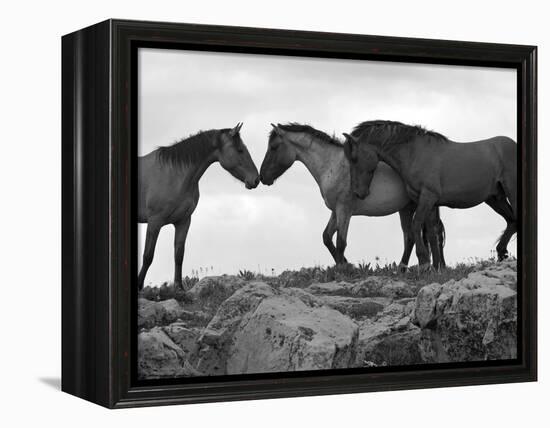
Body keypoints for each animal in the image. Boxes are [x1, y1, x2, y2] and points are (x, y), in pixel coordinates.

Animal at [137, 123, 260, 290]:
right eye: (240, 150)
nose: (256, 179)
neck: (174, 175)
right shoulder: (155, 221)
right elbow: (148, 256)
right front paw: (139, 285)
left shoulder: (183, 221)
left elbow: (179, 255)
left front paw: (179, 288)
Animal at [260, 123, 446, 270]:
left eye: (274, 147)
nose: (262, 177)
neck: (332, 165)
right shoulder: (335, 210)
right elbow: (327, 237)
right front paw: (345, 264)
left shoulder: (344, 209)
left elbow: (341, 241)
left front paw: (343, 268)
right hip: (407, 208)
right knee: (414, 236)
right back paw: (407, 267)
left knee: (429, 233)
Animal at [342, 118, 520, 270]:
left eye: (354, 158)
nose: (358, 192)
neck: (415, 153)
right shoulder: (428, 202)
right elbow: (432, 233)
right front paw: (436, 267)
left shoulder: (428, 197)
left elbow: (416, 225)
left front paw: (424, 261)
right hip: (495, 198)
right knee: (512, 221)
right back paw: (501, 252)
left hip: (511, 192)